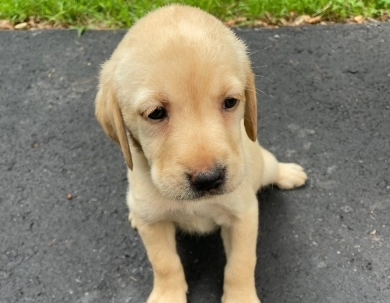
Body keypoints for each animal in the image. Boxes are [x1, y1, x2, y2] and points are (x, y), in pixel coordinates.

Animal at [95, 4, 308, 303]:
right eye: (155, 113)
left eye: (230, 102)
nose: (209, 179)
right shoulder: (154, 224)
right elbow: (164, 262)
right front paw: (168, 295)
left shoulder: (242, 215)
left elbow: (241, 263)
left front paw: (240, 297)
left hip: (263, 164)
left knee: (273, 168)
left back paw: (289, 174)